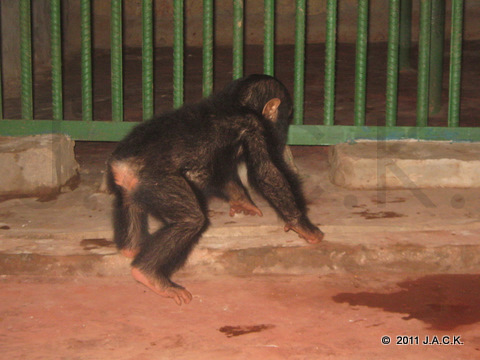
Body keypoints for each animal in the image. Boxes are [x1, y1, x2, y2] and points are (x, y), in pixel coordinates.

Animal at [107, 74, 324, 306]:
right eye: (286, 113)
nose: (283, 126)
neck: (239, 103)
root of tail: (121, 165)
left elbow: (222, 171)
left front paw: (243, 203)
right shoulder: (254, 127)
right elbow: (266, 173)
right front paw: (303, 226)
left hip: (128, 187)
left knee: (131, 209)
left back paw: (132, 250)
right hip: (156, 181)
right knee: (190, 219)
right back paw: (149, 274)